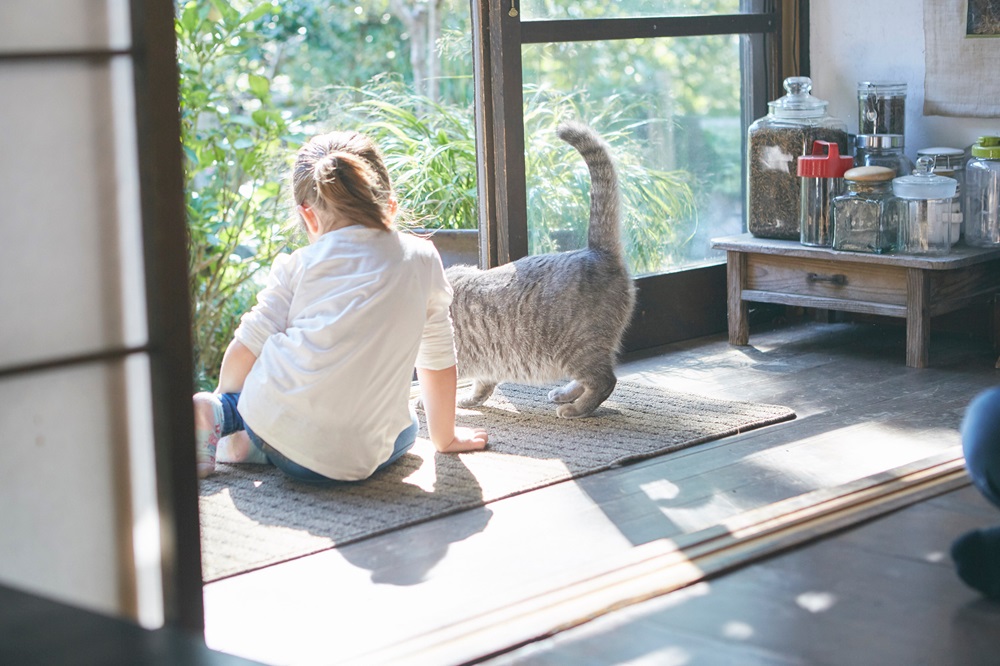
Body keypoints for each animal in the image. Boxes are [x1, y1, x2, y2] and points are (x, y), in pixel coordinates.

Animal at [444, 120, 632, 416]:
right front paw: (469, 401)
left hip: (577, 349)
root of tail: (596, 251)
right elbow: (481, 387)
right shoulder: (484, 364)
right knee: (591, 379)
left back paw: (576, 409)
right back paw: (565, 394)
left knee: (605, 381)